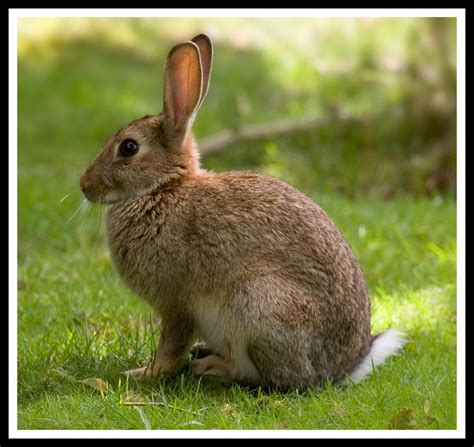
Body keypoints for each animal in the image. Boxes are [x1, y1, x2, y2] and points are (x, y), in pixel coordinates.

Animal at [78, 33, 404, 388]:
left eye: (129, 147)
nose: (84, 185)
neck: (162, 189)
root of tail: (342, 368)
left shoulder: (177, 303)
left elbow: (171, 346)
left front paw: (142, 374)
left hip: (256, 304)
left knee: (269, 377)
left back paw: (212, 367)